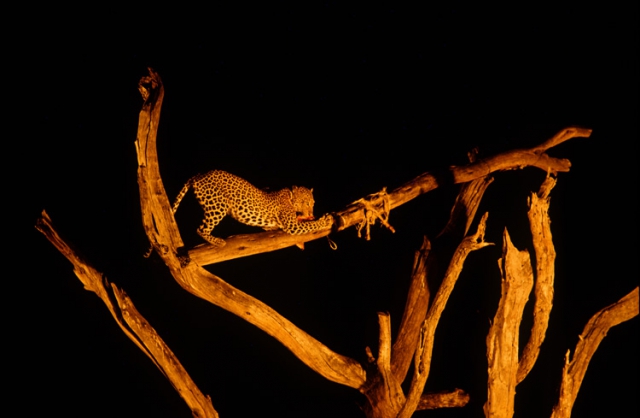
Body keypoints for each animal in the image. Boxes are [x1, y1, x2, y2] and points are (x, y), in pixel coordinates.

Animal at [172, 170, 332, 247]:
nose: (311, 212)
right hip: (218, 205)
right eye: (305, 202)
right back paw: (218, 242)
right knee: (201, 229)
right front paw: (326, 220)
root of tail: (199, 175)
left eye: (313, 203)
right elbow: (311, 225)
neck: (290, 198)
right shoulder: (292, 225)